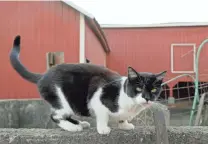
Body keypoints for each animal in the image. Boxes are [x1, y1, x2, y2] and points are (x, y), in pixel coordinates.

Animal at [9, 35, 167, 134]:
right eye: (139, 88)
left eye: (154, 89)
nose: (147, 98)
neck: (131, 104)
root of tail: (43, 75)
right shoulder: (98, 95)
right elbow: (103, 115)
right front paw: (103, 129)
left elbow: (122, 117)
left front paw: (124, 124)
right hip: (63, 100)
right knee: (55, 116)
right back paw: (73, 128)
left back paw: (80, 123)